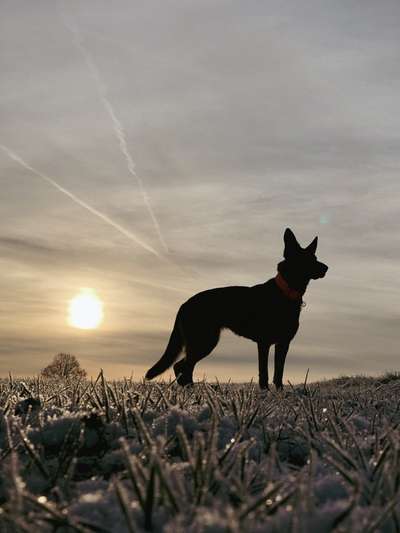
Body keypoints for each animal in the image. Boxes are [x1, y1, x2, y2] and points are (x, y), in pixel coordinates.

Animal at [145, 227, 326, 388]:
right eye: (307, 259)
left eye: (315, 257)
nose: (326, 268)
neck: (285, 292)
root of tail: (184, 304)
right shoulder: (264, 343)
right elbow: (264, 372)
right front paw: (265, 392)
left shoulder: (283, 344)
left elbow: (278, 373)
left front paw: (279, 393)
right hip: (204, 341)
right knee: (182, 366)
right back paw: (191, 390)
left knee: (184, 367)